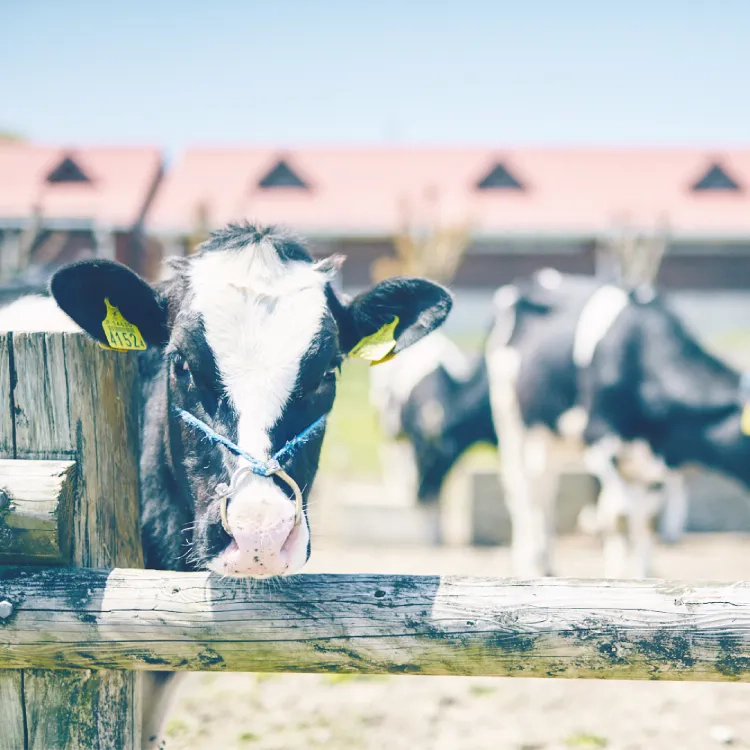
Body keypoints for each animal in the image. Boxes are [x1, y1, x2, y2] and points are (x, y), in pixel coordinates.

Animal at [488, 270, 748, 580]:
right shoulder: (599, 440)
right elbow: (621, 514)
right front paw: (620, 575)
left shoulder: (647, 461)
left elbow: (645, 517)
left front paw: (641, 573)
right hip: (511, 422)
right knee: (523, 492)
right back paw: (528, 563)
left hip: (551, 434)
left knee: (545, 488)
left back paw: (547, 562)